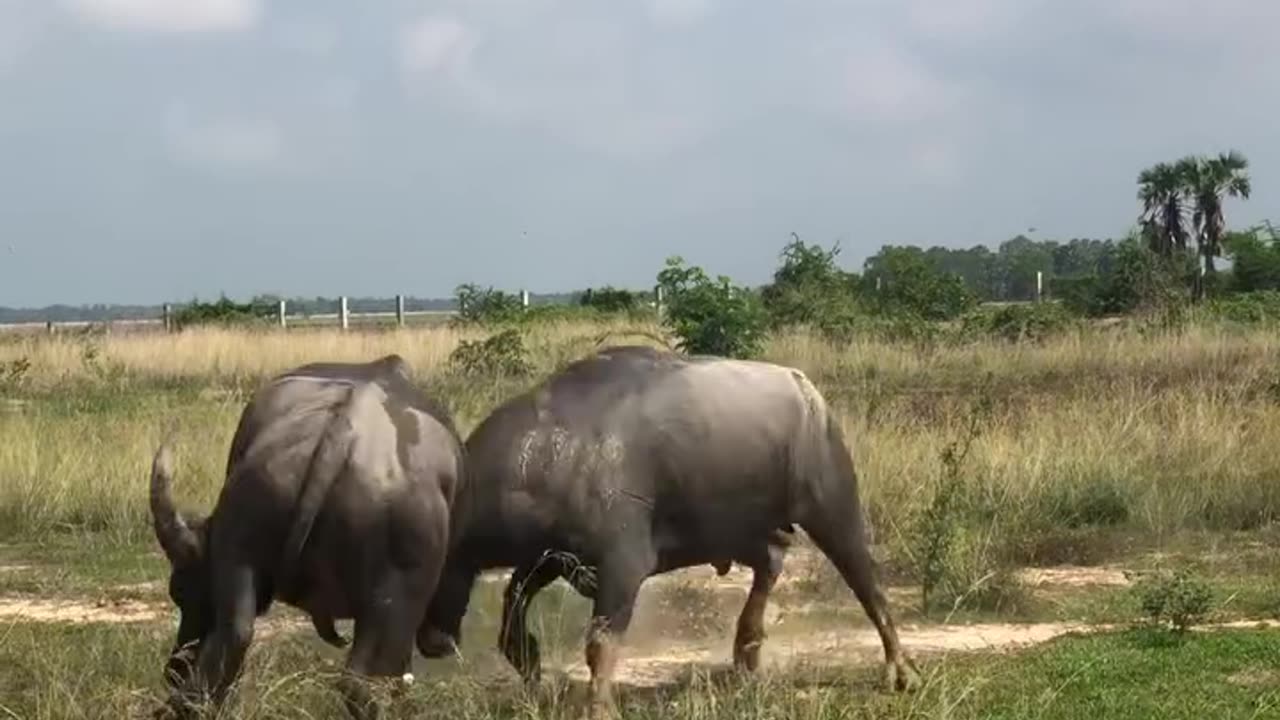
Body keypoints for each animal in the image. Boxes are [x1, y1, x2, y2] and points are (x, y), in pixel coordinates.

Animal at [148, 354, 464, 719]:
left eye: (181, 591)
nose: (174, 670)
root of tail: (340, 431)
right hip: (396, 595)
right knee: (362, 680)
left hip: (244, 533)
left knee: (232, 639)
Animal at [422, 345, 917, 716]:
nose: (428, 641)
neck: (550, 455)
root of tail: (809, 392)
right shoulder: (551, 558)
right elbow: (514, 604)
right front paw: (528, 659)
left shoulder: (621, 564)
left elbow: (600, 640)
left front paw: (598, 706)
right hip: (736, 528)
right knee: (772, 558)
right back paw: (746, 649)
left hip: (832, 508)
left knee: (866, 583)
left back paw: (900, 670)